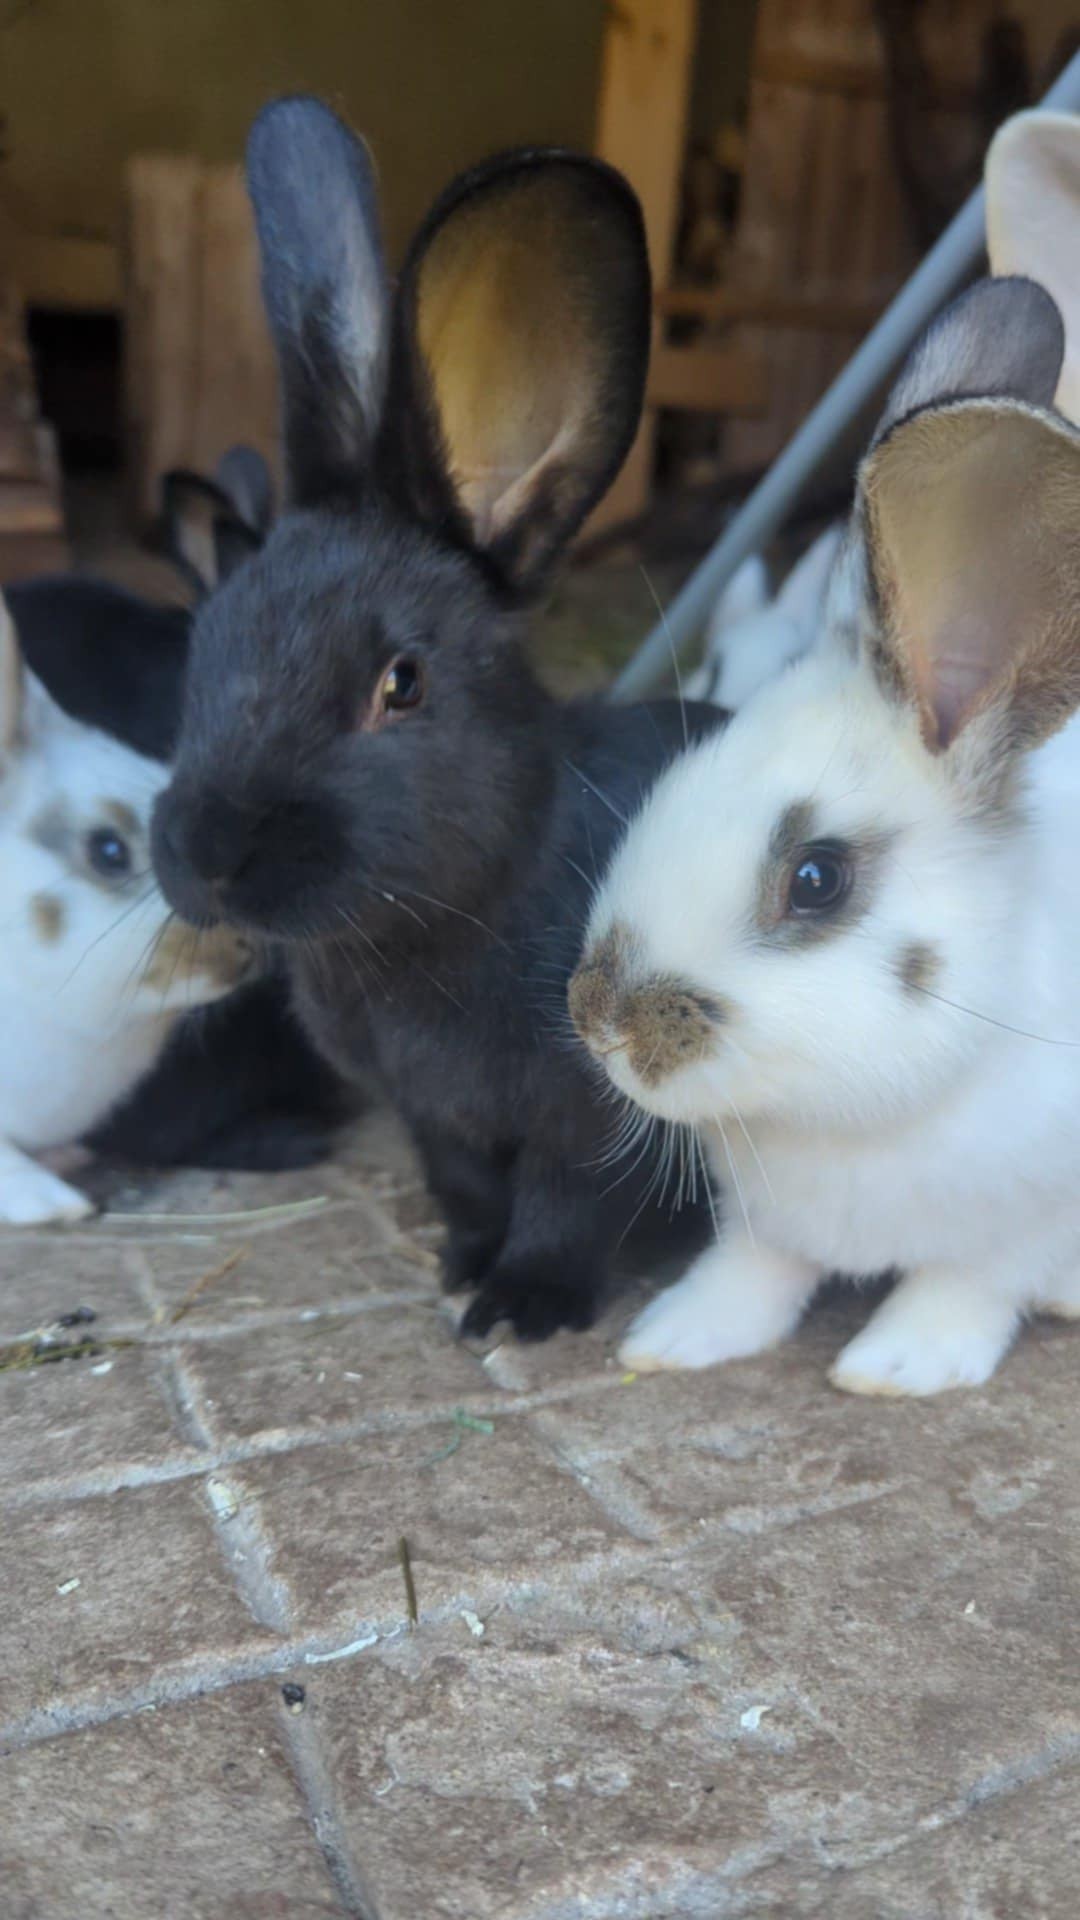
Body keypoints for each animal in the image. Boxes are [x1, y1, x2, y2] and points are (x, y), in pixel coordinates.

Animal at [150, 96, 725, 1341]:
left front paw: (520, 1308)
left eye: (401, 683)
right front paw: (465, 1266)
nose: (208, 855)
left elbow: (564, 1207)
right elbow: (465, 1186)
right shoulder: (434, 1121)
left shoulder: (592, 1115)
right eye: (202, 652)